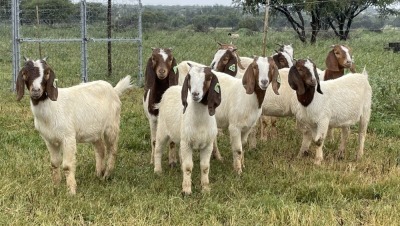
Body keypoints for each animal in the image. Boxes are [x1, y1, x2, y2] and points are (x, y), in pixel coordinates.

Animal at [16, 57, 133, 194]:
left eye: (46, 73)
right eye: (25, 73)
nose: (36, 91)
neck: (52, 107)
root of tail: (114, 90)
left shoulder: (68, 137)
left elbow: (67, 166)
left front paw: (71, 191)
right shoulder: (49, 140)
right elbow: (54, 163)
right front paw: (55, 187)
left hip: (112, 126)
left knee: (112, 150)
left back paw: (107, 175)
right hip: (94, 131)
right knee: (100, 149)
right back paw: (98, 173)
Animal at [154, 64, 222, 194]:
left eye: (209, 78)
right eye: (189, 77)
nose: (195, 94)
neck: (200, 122)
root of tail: (171, 88)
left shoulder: (208, 145)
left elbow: (205, 167)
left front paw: (205, 189)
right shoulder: (187, 143)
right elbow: (188, 167)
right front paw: (186, 190)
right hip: (162, 130)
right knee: (158, 149)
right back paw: (157, 170)